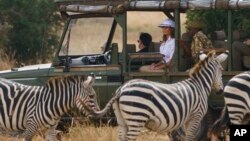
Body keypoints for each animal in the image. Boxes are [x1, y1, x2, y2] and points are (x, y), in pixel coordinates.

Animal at [88, 50, 229, 140]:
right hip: (136, 117)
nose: (220, 91)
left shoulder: (187, 119)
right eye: (222, 70)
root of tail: (121, 90)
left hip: (122, 120)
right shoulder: (196, 116)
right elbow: (189, 138)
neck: (199, 85)